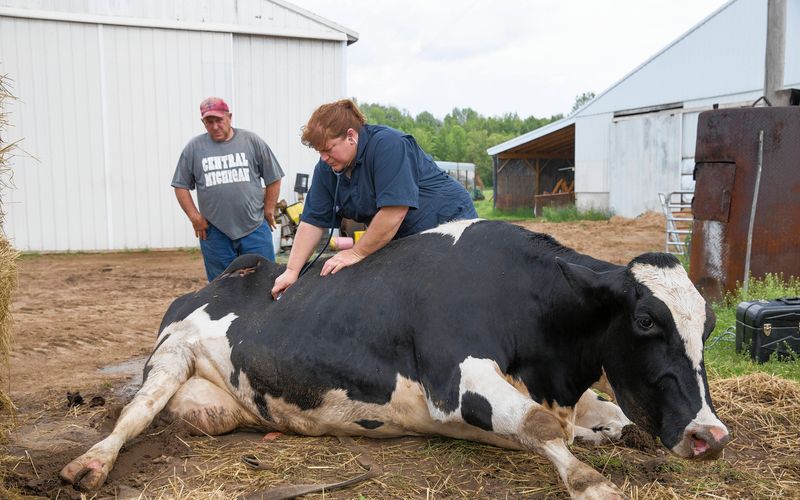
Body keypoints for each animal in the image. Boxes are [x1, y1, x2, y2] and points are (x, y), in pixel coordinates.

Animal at [61, 221, 732, 498]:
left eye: (709, 326)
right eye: (645, 321)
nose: (710, 435)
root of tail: (229, 273)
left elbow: (609, 418)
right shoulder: (456, 378)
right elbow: (539, 425)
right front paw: (593, 484)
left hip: (220, 407)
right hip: (171, 354)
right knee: (130, 417)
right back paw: (88, 464)